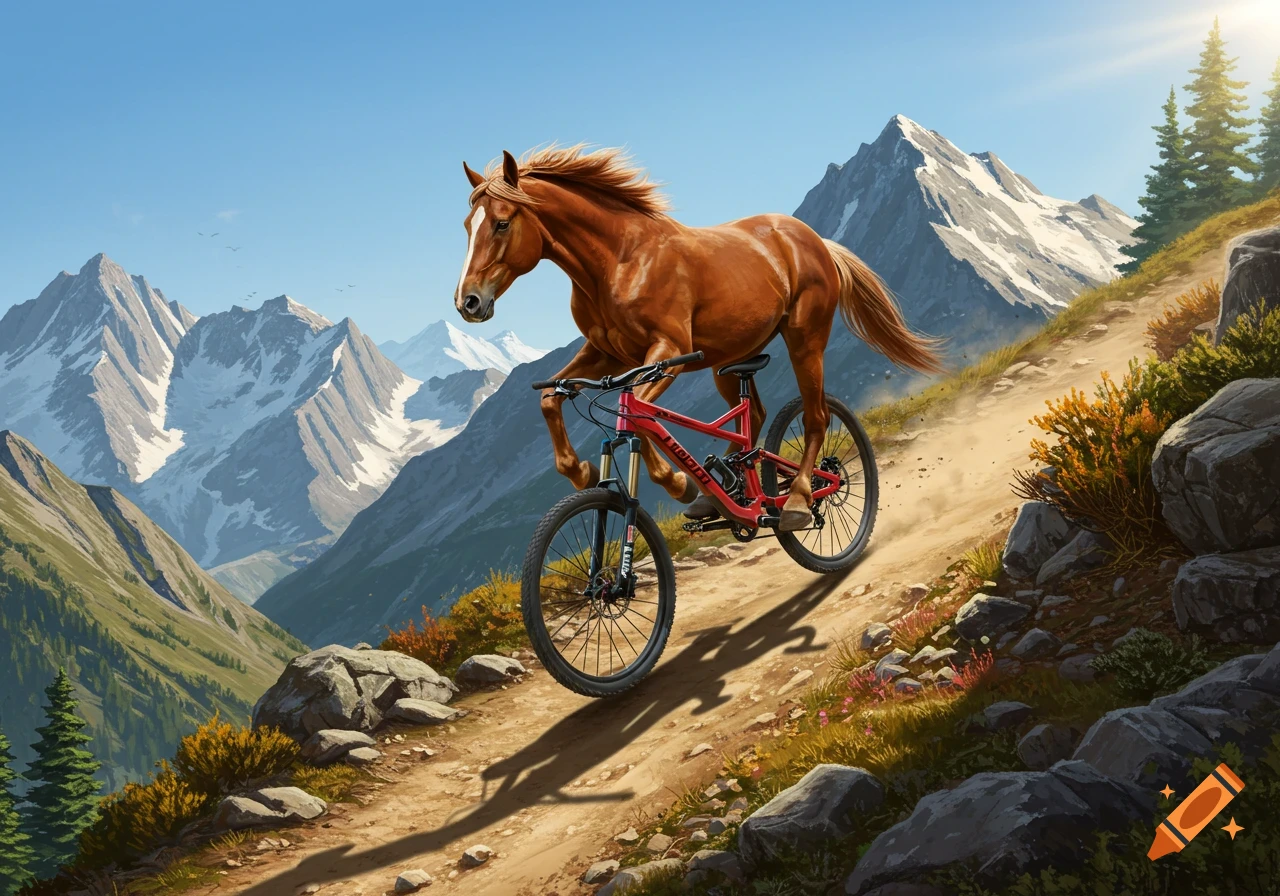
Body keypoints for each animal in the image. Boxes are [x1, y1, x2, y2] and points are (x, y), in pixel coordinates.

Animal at [452, 145, 942, 531]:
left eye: (501, 223)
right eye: (467, 225)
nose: (467, 302)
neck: (620, 261)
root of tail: (816, 241)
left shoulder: (669, 353)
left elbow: (637, 415)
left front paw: (676, 482)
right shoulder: (608, 357)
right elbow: (551, 398)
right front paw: (581, 472)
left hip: (804, 340)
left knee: (817, 417)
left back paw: (799, 498)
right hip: (730, 361)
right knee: (754, 416)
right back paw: (725, 492)